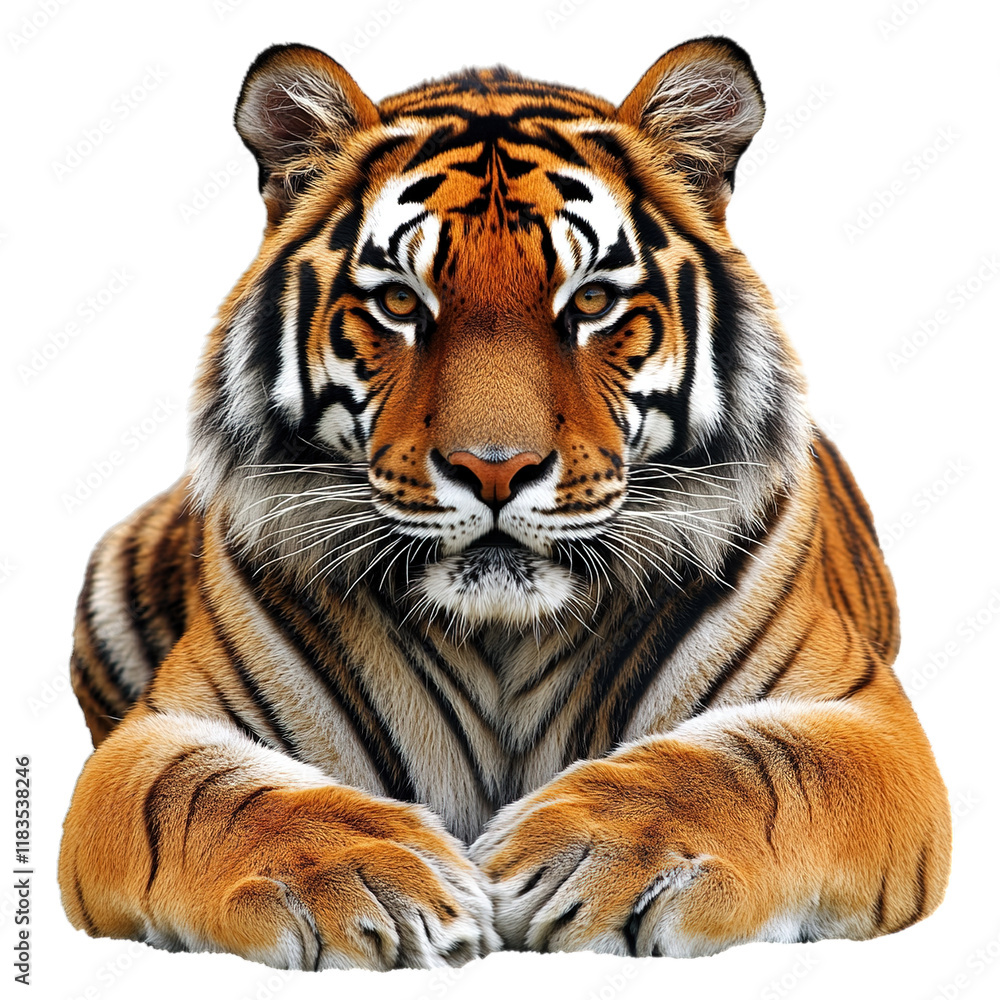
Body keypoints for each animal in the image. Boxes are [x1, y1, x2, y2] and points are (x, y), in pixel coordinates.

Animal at [58, 36, 950, 970]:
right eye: (399, 302)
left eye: (591, 301)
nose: (494, 470)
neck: (501, 639)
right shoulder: (156, 734)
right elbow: (210, 796)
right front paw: (368, 878)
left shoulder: (863, 717)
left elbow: (754, 770)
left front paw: (589, 852)